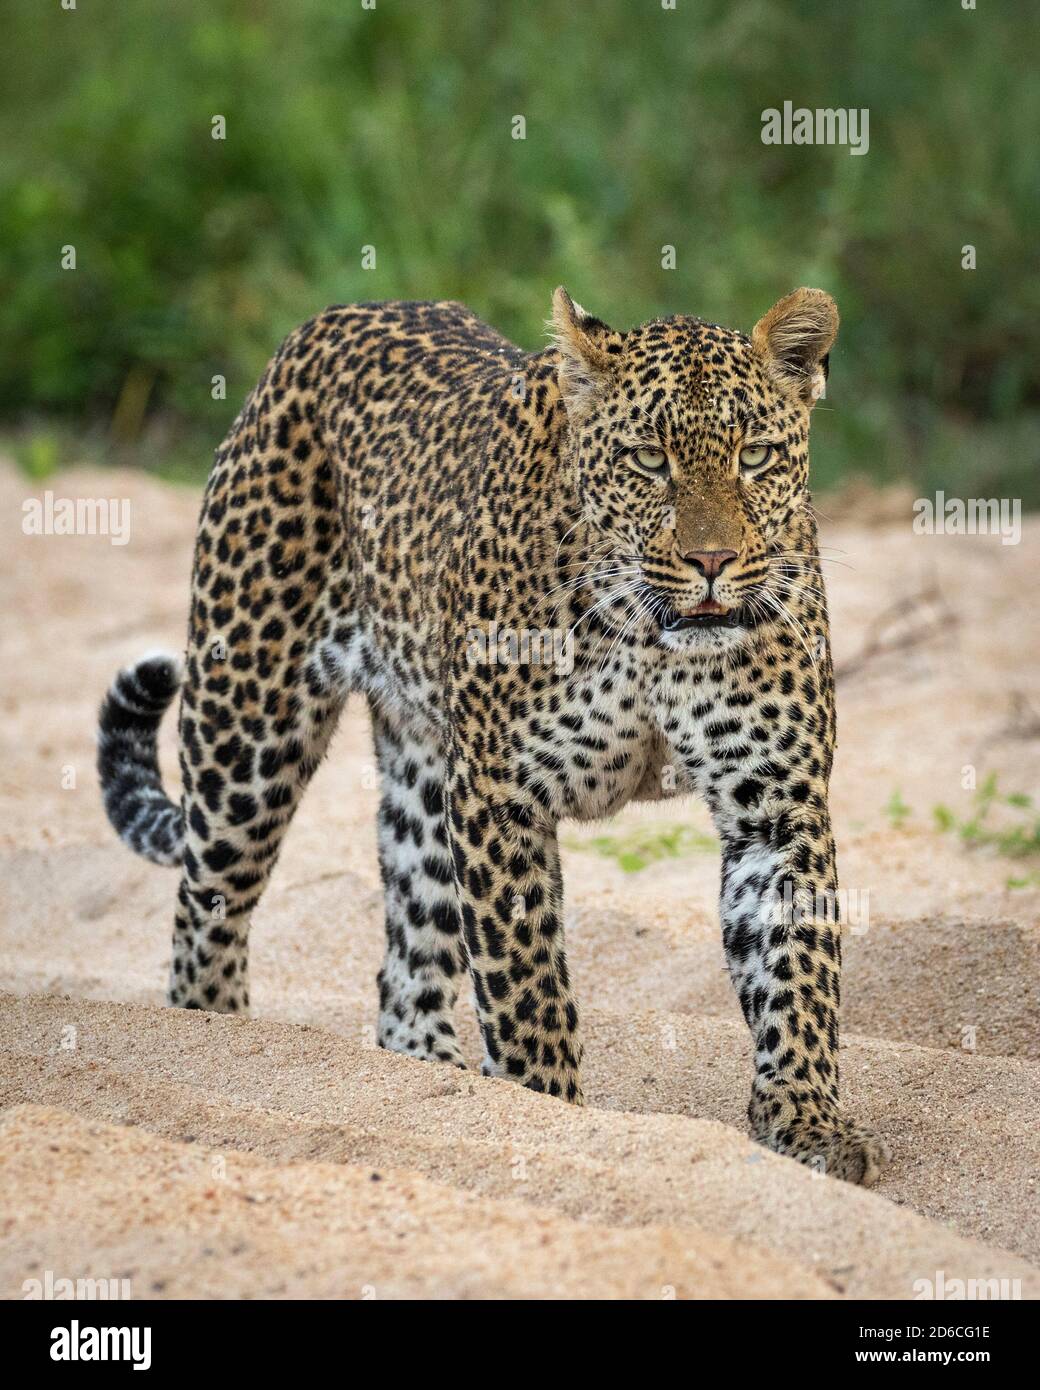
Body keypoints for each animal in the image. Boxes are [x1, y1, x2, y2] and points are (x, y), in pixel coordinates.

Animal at [97, 285, 891, 1186]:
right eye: (649, 460)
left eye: (755, 456)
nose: (714, 561)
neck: (652, 636)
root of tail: (329, 319)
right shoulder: (500, 793)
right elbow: (525, 985)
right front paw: (549, 1117)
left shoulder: (777, 805)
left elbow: (798, 973)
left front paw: (808, 1122)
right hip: (246, 731)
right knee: (206, 913)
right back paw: (216, 1038)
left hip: (421, 779)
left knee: (406, 959)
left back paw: (428, 1081)